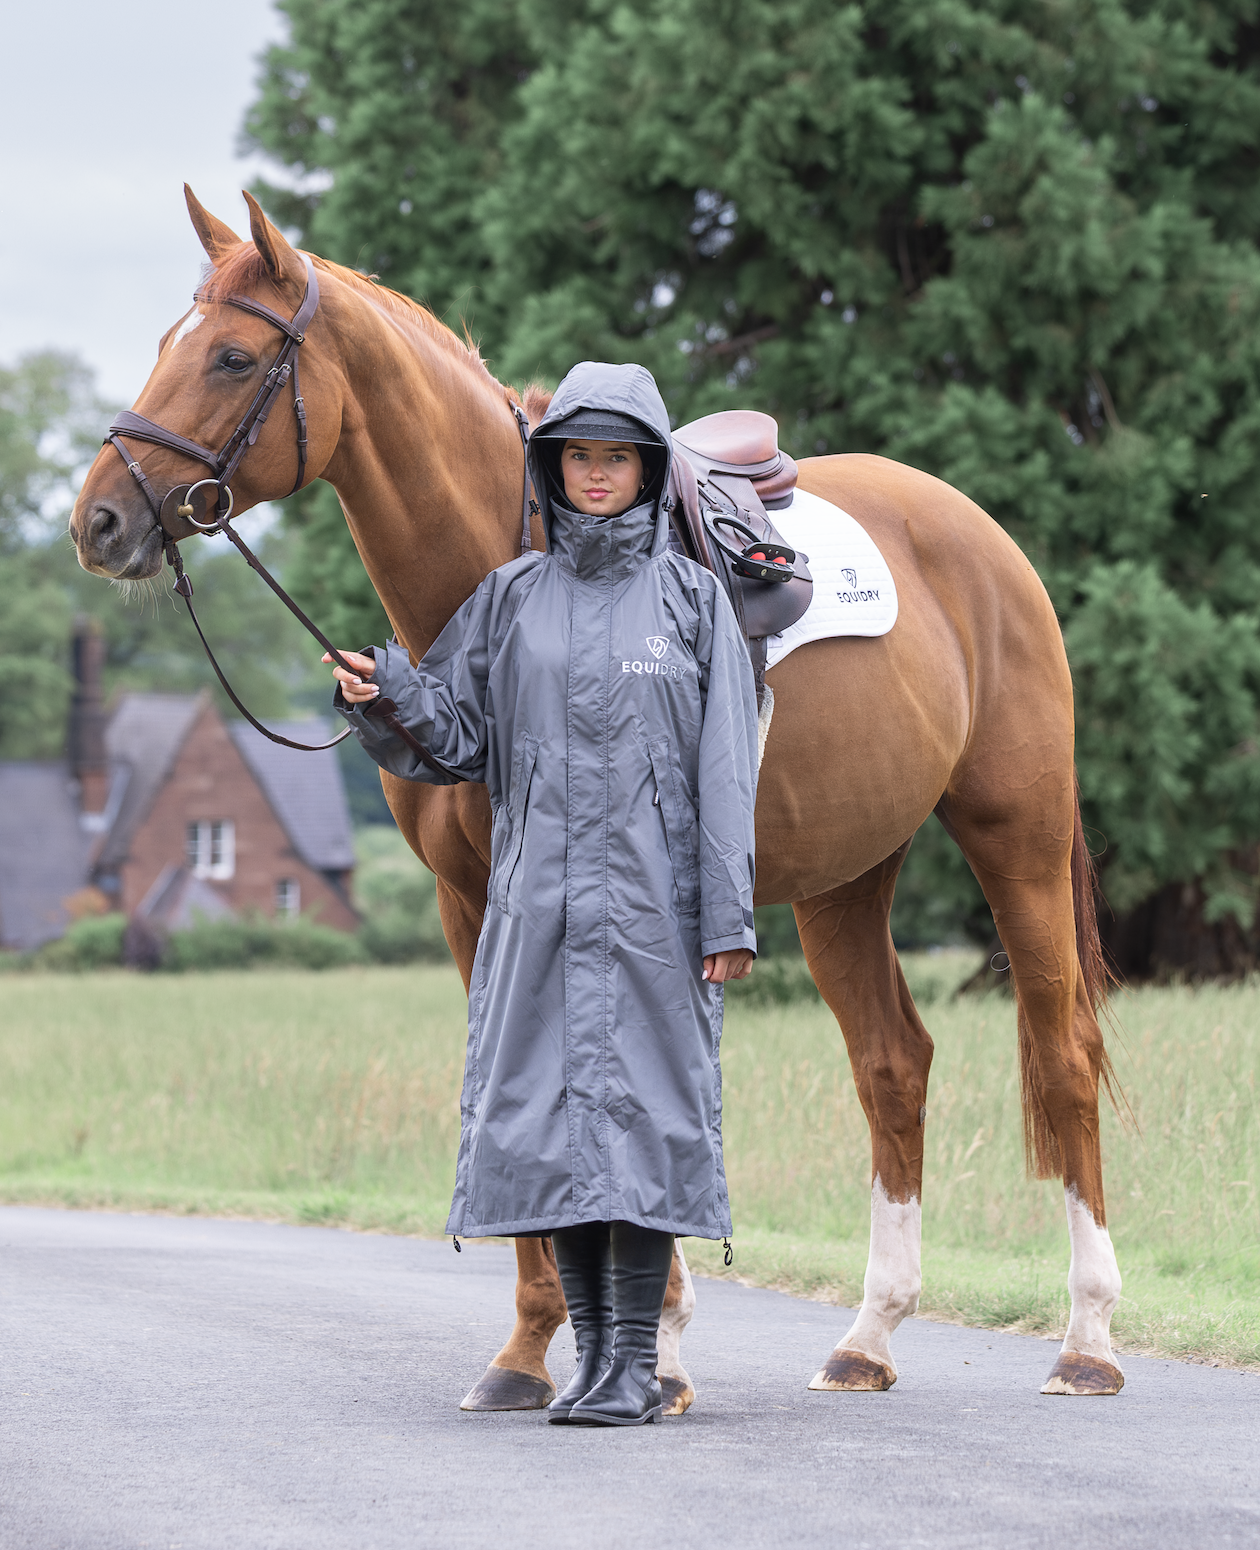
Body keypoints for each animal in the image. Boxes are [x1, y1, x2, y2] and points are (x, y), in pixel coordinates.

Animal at [70, 187, 1125, 1409]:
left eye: (234, 357)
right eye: (167, 345)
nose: (97, 521)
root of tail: (985, 541)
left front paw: (623, 1342)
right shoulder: (473, 897)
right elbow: (510, 1081)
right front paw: (556, 1348)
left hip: (1018, 832)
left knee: (1062, 1053)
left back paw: (1087, 1339)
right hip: (848, 876)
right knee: (893, 1065)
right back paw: (869, 1335)